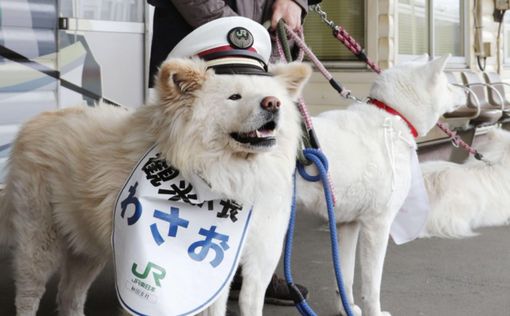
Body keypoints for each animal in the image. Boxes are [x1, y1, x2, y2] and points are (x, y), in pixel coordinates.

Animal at [0, 17, 310, 316]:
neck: (230, 176)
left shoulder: (256, 259)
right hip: (40, 242)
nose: (273, 103)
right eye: (234, 96)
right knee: (29, 295)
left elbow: (250, 304)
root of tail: (35, 120)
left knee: (69, 295)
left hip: (87, 248)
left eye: (270, 95)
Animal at [294, 55, 466, 316]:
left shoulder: (347, 224)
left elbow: (344, 277)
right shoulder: (377, 225)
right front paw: (373, 312)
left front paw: (347, 308)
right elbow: (372, 286)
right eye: (448, 85)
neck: (393, 116)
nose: (466, 89)